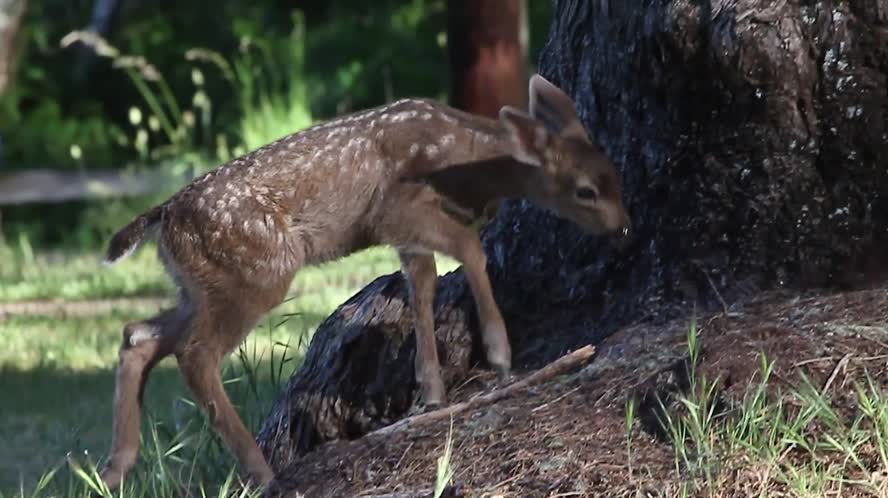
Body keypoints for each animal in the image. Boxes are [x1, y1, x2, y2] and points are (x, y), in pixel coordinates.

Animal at [97, 73, 631, 490]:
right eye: (586, 190)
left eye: (615, 175)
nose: (623, 226)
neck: (467, 161)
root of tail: (163, 215)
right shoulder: (395, 209)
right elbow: (470, 249)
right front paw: (500, 354)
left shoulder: (405, 237)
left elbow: (423, 286)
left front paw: (431, 391)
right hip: (257, 272)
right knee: (195, 354)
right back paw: (262, 471)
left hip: (200, 285)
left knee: (139, 336)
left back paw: (116, 469)